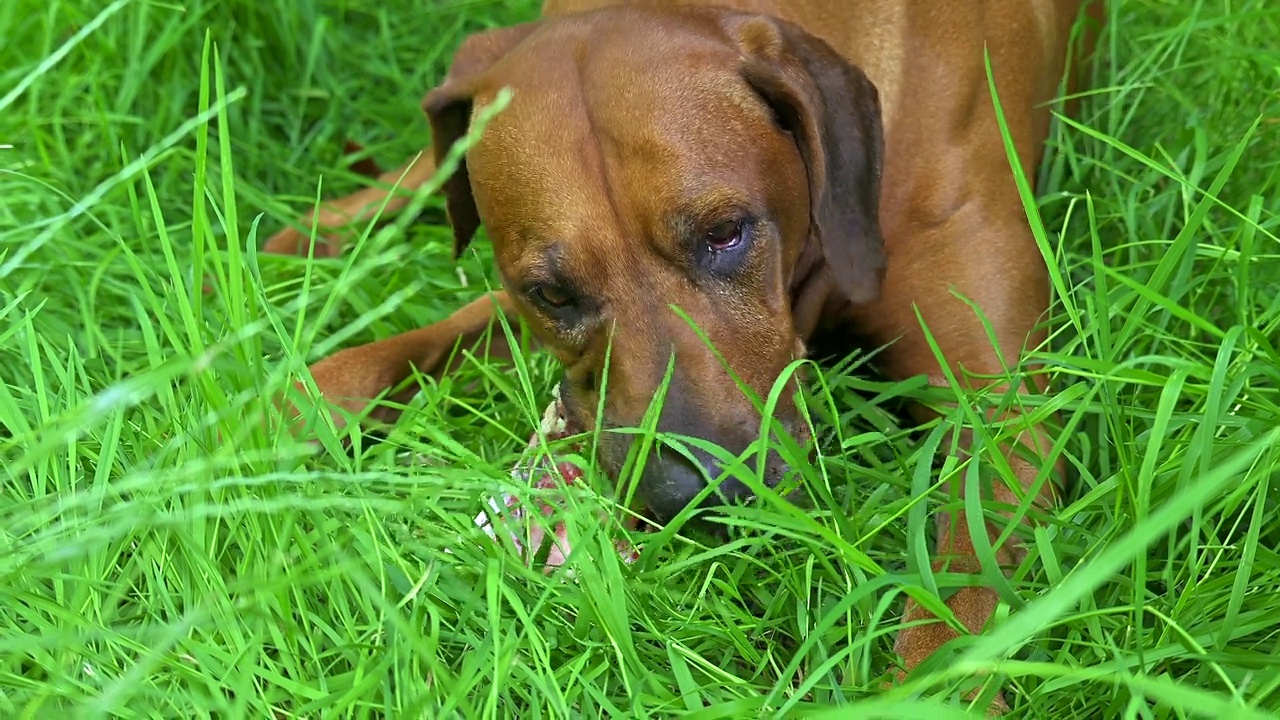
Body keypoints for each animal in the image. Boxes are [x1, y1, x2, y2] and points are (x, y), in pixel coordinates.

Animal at [264, 0, 1105, 707]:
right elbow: (413, 344)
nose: (691, 497)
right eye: (551, 293)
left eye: (726, 232)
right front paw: (285, 405)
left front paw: (925, 694)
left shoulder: (1001, 408)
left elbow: (962, 586)